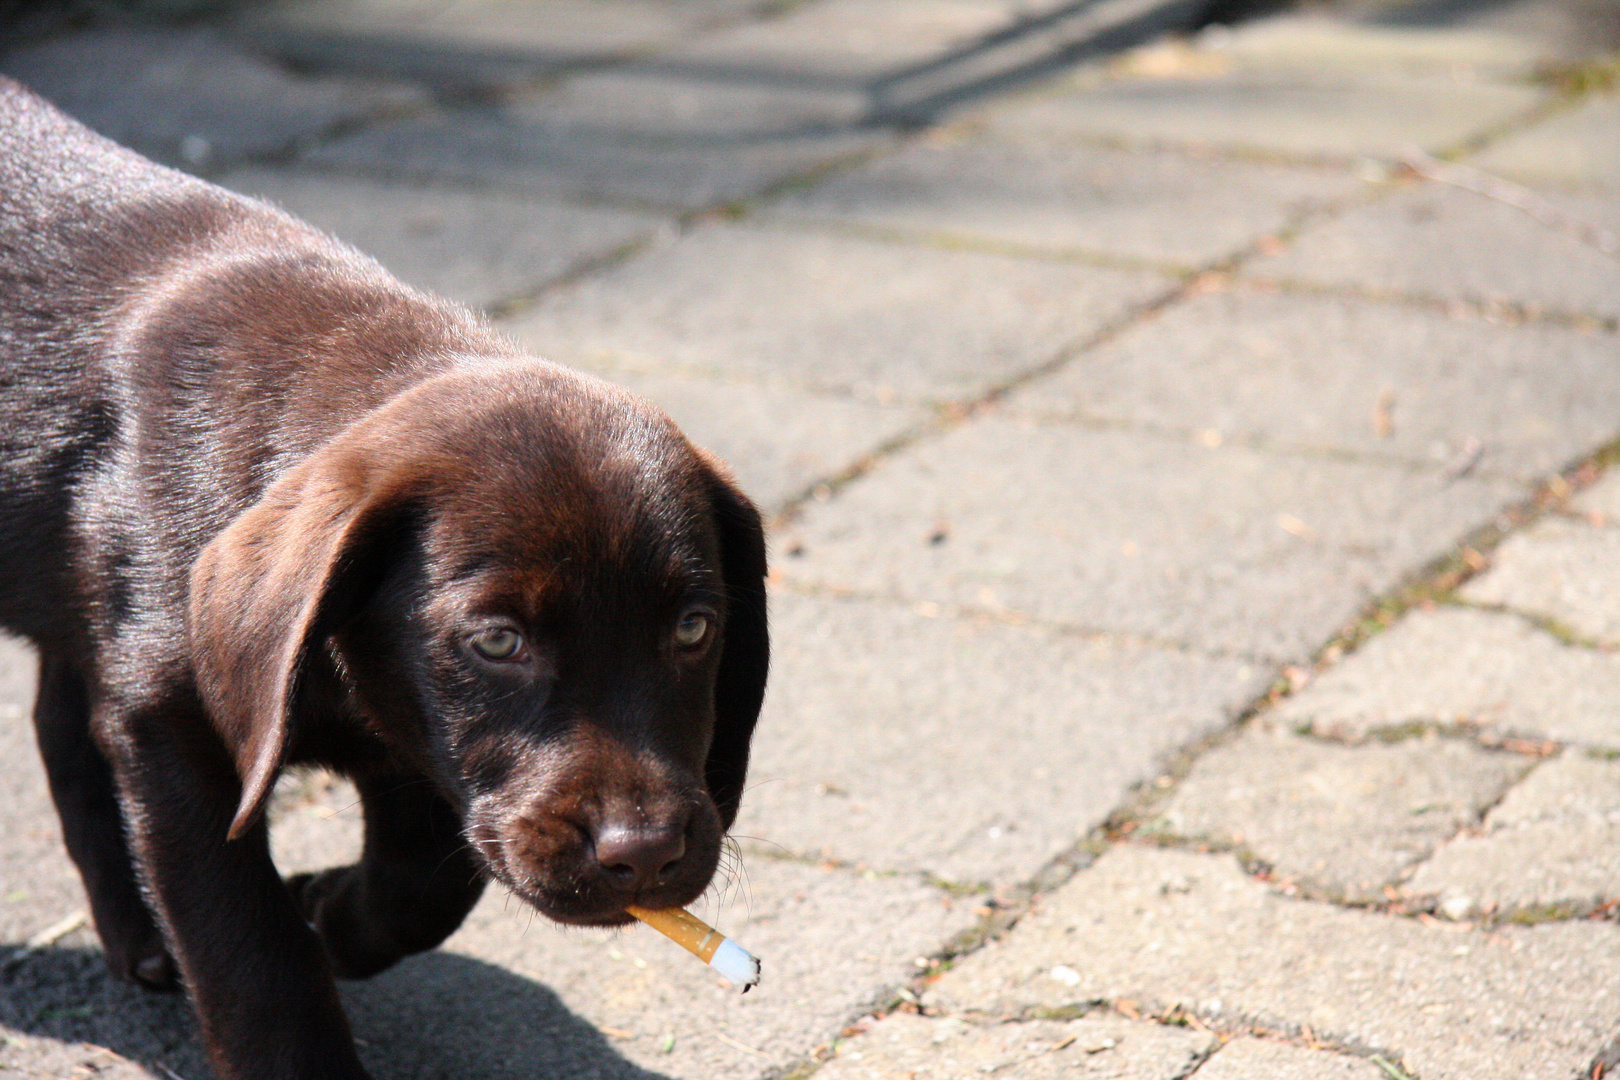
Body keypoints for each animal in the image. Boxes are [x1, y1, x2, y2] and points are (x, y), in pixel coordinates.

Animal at [0, 78, 767, 1080]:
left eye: (693, 629)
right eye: (498, 641)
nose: (644, 855)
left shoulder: (416, 738)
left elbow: (421, 888)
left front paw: (334, 913)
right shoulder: (173, 728)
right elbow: (250, 949)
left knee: (61, 719)